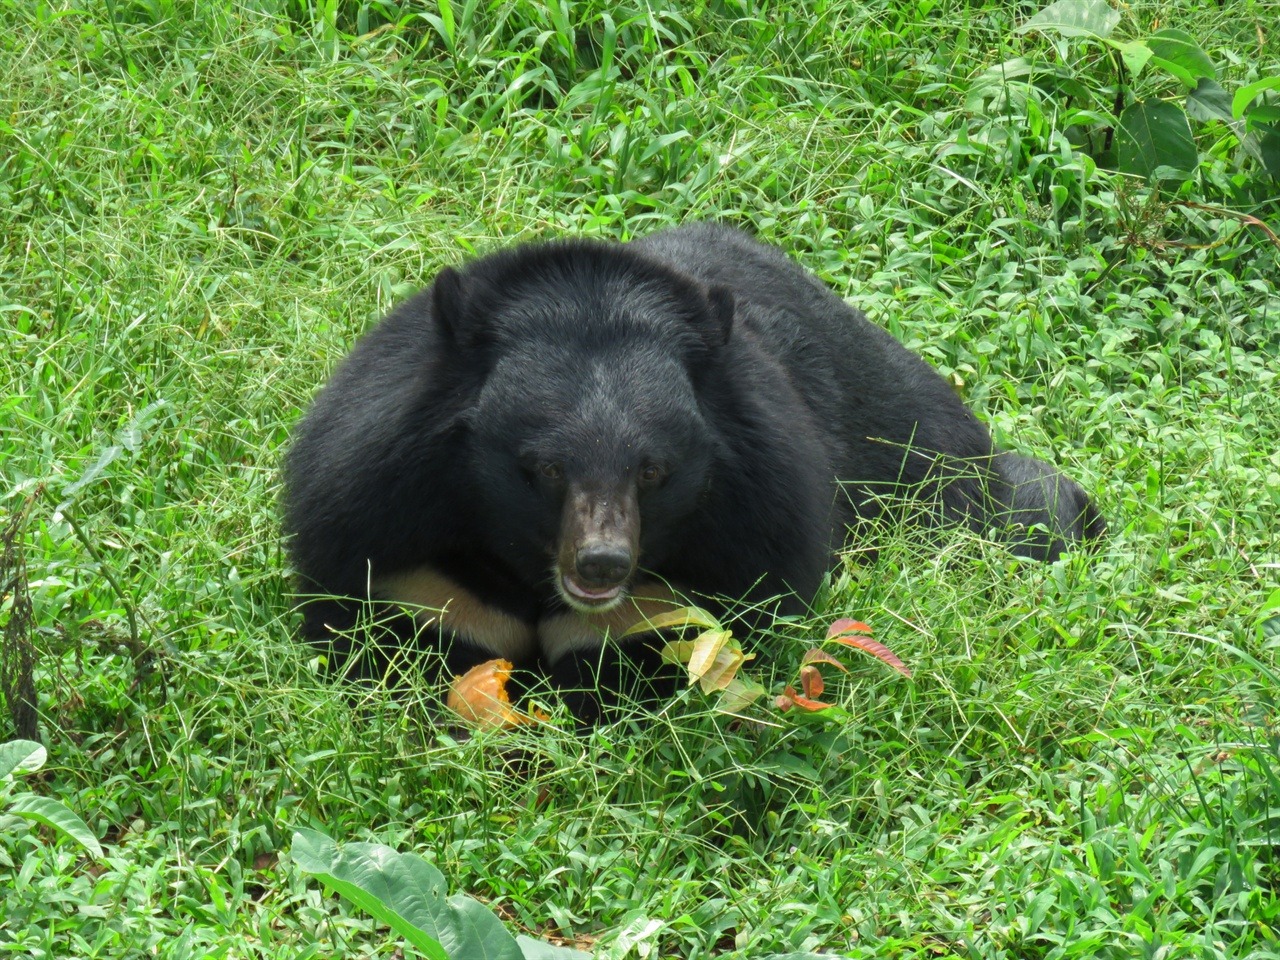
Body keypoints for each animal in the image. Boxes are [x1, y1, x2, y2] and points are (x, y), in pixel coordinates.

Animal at [282, 224, 1100, 721]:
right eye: (543, 468)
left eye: (654, 471)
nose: (602, 563)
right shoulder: (395, 536)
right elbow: (388, 641)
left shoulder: (741, 539)